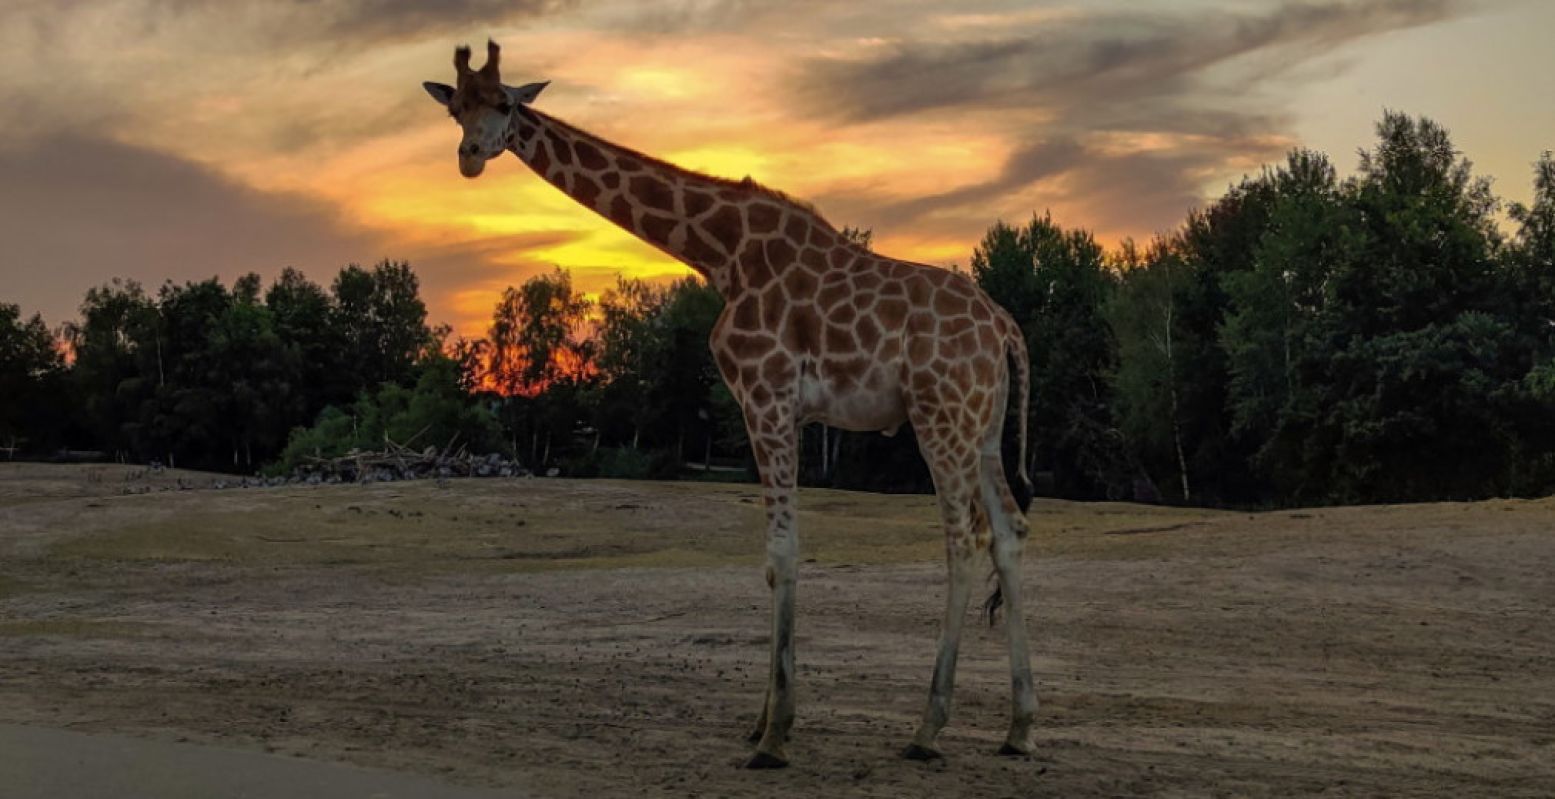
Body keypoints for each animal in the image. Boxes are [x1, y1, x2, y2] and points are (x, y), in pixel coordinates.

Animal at [422, 38, 1044, 764]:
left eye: (505, 103)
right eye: (456, 108)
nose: (469, 155)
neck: (718, 253)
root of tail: (1005, 328)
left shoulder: (766, 393)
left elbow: (781, 554)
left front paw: (774, 736)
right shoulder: (769, 403)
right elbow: (773, 560)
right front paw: (763, 720)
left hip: (938, 415)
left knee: (964, 538)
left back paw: (927, 728)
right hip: (982, 425)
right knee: (1010, 530)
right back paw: (1019, 726)